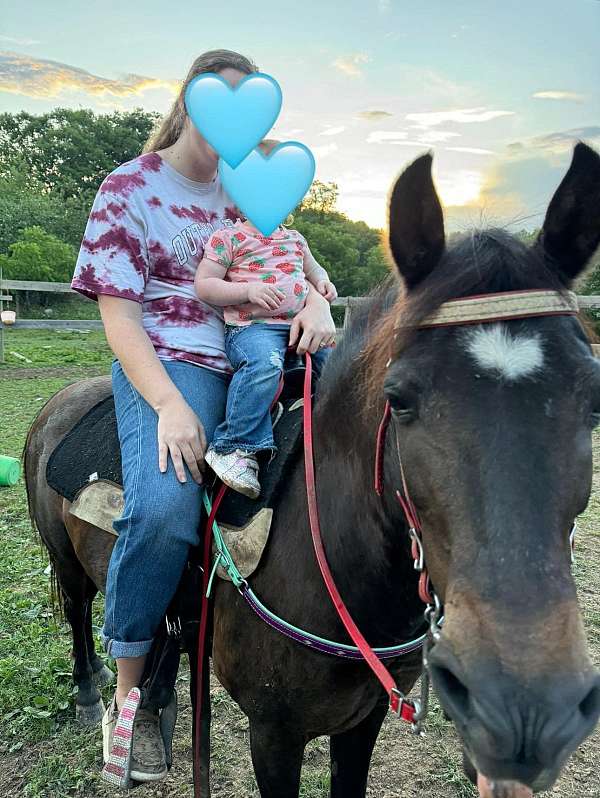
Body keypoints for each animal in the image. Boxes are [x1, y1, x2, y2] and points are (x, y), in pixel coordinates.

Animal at [24, 145, 600, 798]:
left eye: (594, 396)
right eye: (399, 398)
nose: (524, 709)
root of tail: (59, 401)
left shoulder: (365, 717)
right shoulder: (274, 731)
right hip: (70, 562)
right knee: (81, 612)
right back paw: (96, 697)